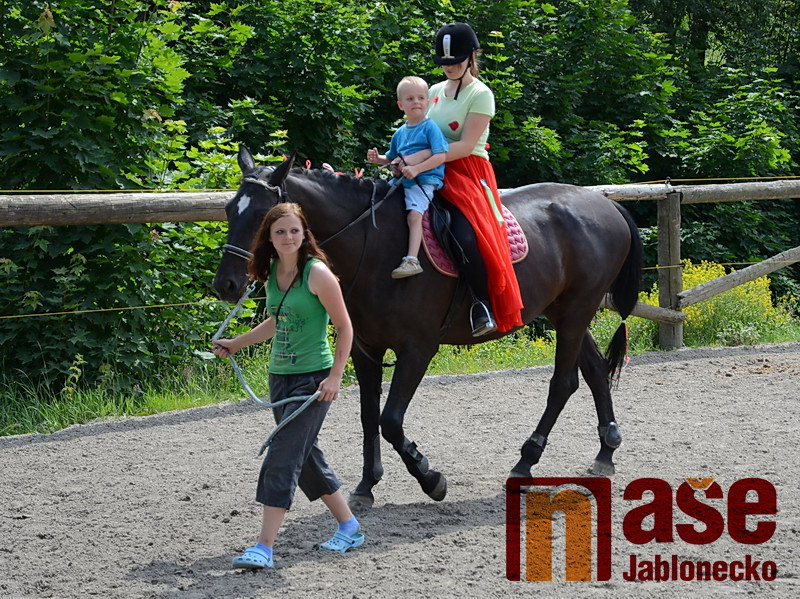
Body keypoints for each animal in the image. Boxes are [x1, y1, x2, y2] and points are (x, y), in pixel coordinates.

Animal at [214, 146, 642, 509]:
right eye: (230, 210)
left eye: (263, 216)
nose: (226, 284)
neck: (374, 247)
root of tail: (604, 204)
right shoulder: (365, 350)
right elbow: (369, 417)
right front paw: (366, 486)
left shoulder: (418, 349)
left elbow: (390, 420)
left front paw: (430, 478)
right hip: (565, 312)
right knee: (594, 371)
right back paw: (606, 451)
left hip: (576, 311)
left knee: (563, 382)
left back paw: (526, 461)